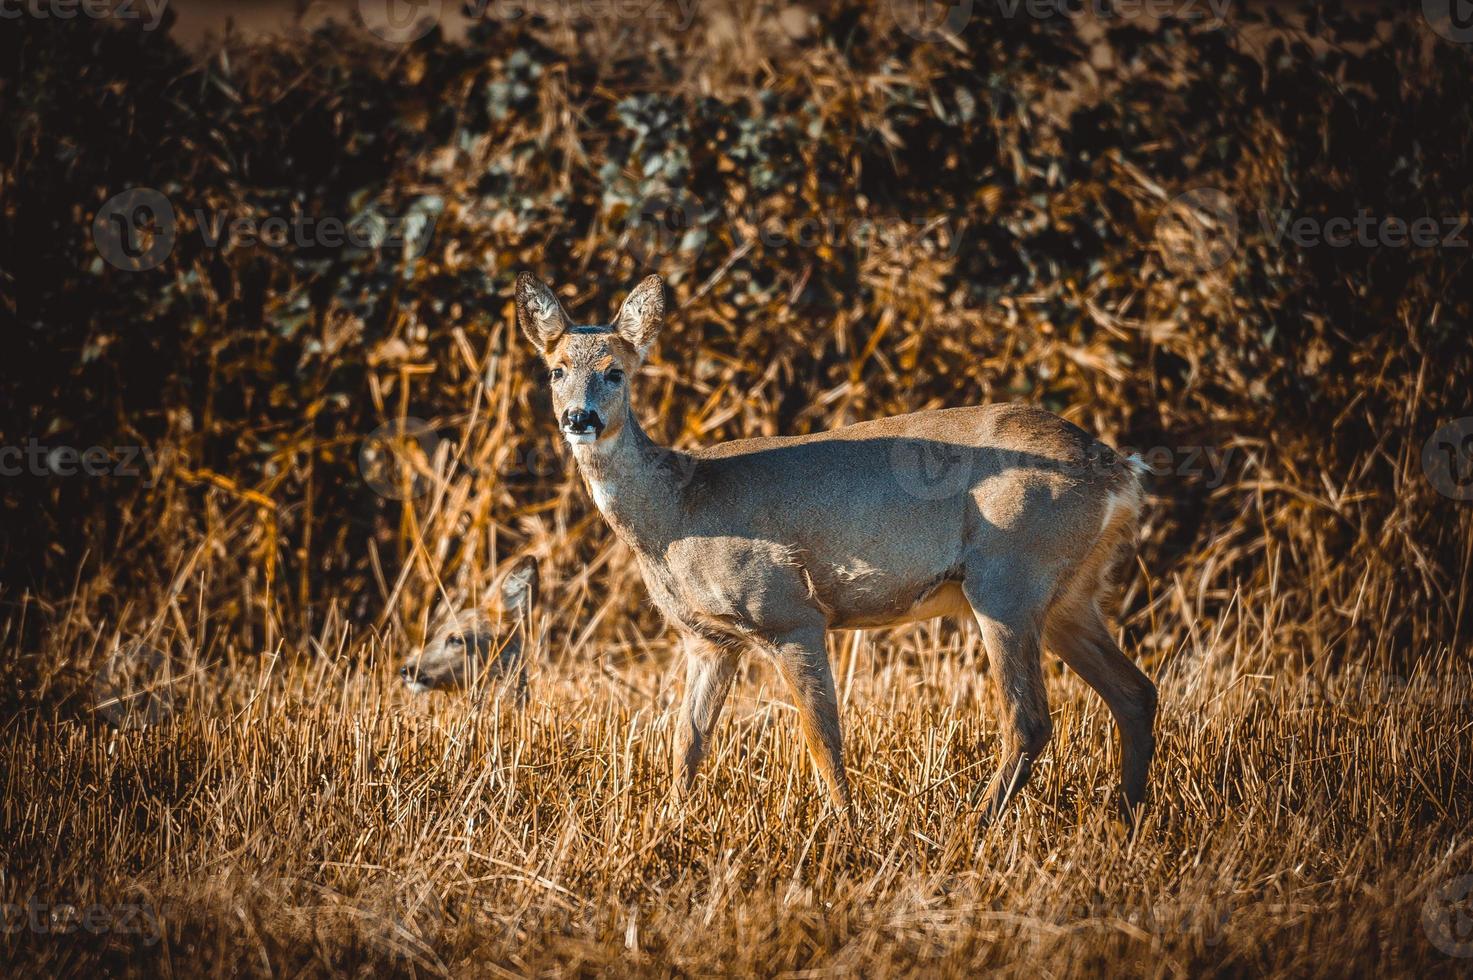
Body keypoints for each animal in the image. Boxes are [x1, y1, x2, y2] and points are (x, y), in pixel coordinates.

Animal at [512, 271, 1154, 819]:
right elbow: (687, 743)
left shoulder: (788, 612)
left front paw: (848, 828)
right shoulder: (708, 638)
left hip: (1008, 575)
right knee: (1135, 693)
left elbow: (822, 737)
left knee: (1030, 718)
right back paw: (1125, 817)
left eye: (615, 371)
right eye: (556, 370)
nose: (579, 418)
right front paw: (670, 824)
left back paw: (977, 825)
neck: (677, 514)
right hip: (1069, 593)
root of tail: (1119, 470)